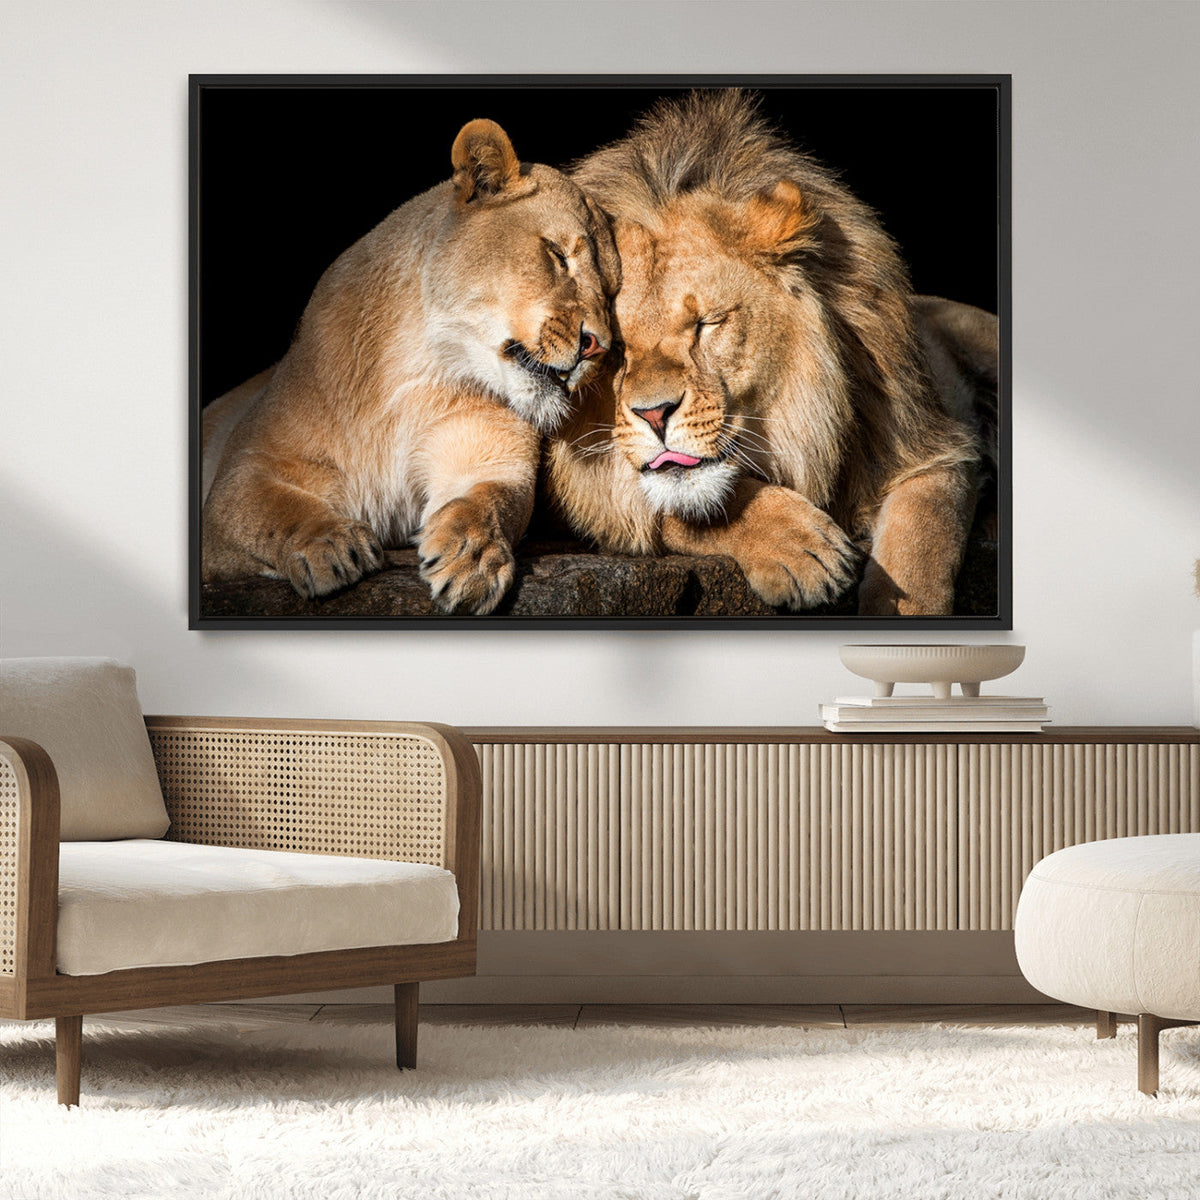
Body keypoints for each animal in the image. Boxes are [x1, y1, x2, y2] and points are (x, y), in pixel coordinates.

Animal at [201, 119, 619, 614]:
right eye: (557, 254)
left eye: (612, 292)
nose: (598, 346)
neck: (418, 370)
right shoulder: (243, 473)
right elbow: (270, 509)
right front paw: (329, 546)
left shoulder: (491, 457)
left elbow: (489, 501)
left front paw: (472, 558)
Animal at [545, 91, 994, 616]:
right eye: (614, 347)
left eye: (708, 323)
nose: (654, 414)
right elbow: (674, 504)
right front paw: (801, 549)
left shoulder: (932, 444)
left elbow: (920, 544)